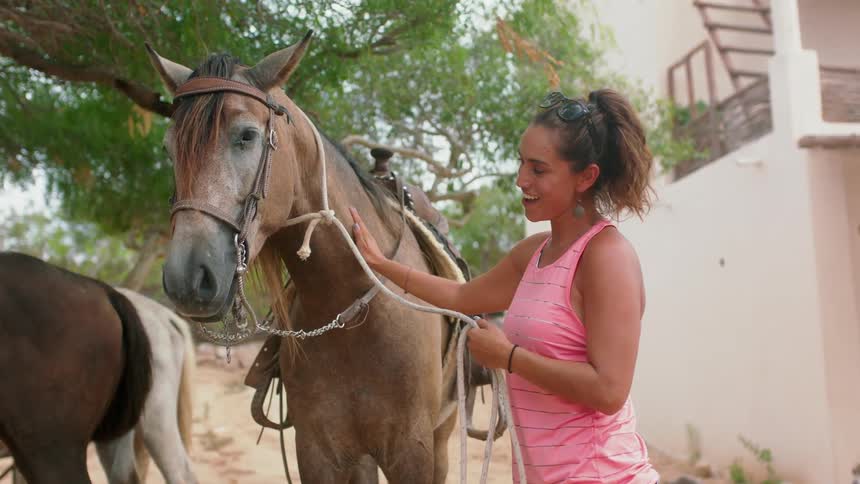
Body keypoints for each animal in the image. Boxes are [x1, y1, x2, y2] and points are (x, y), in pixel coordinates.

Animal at [149, 32, 459, 483]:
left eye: (246, 135)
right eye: (170, 148)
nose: (188, 278)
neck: (352, 313)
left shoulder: (412, 449)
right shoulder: (318, 449)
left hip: (440, 438)